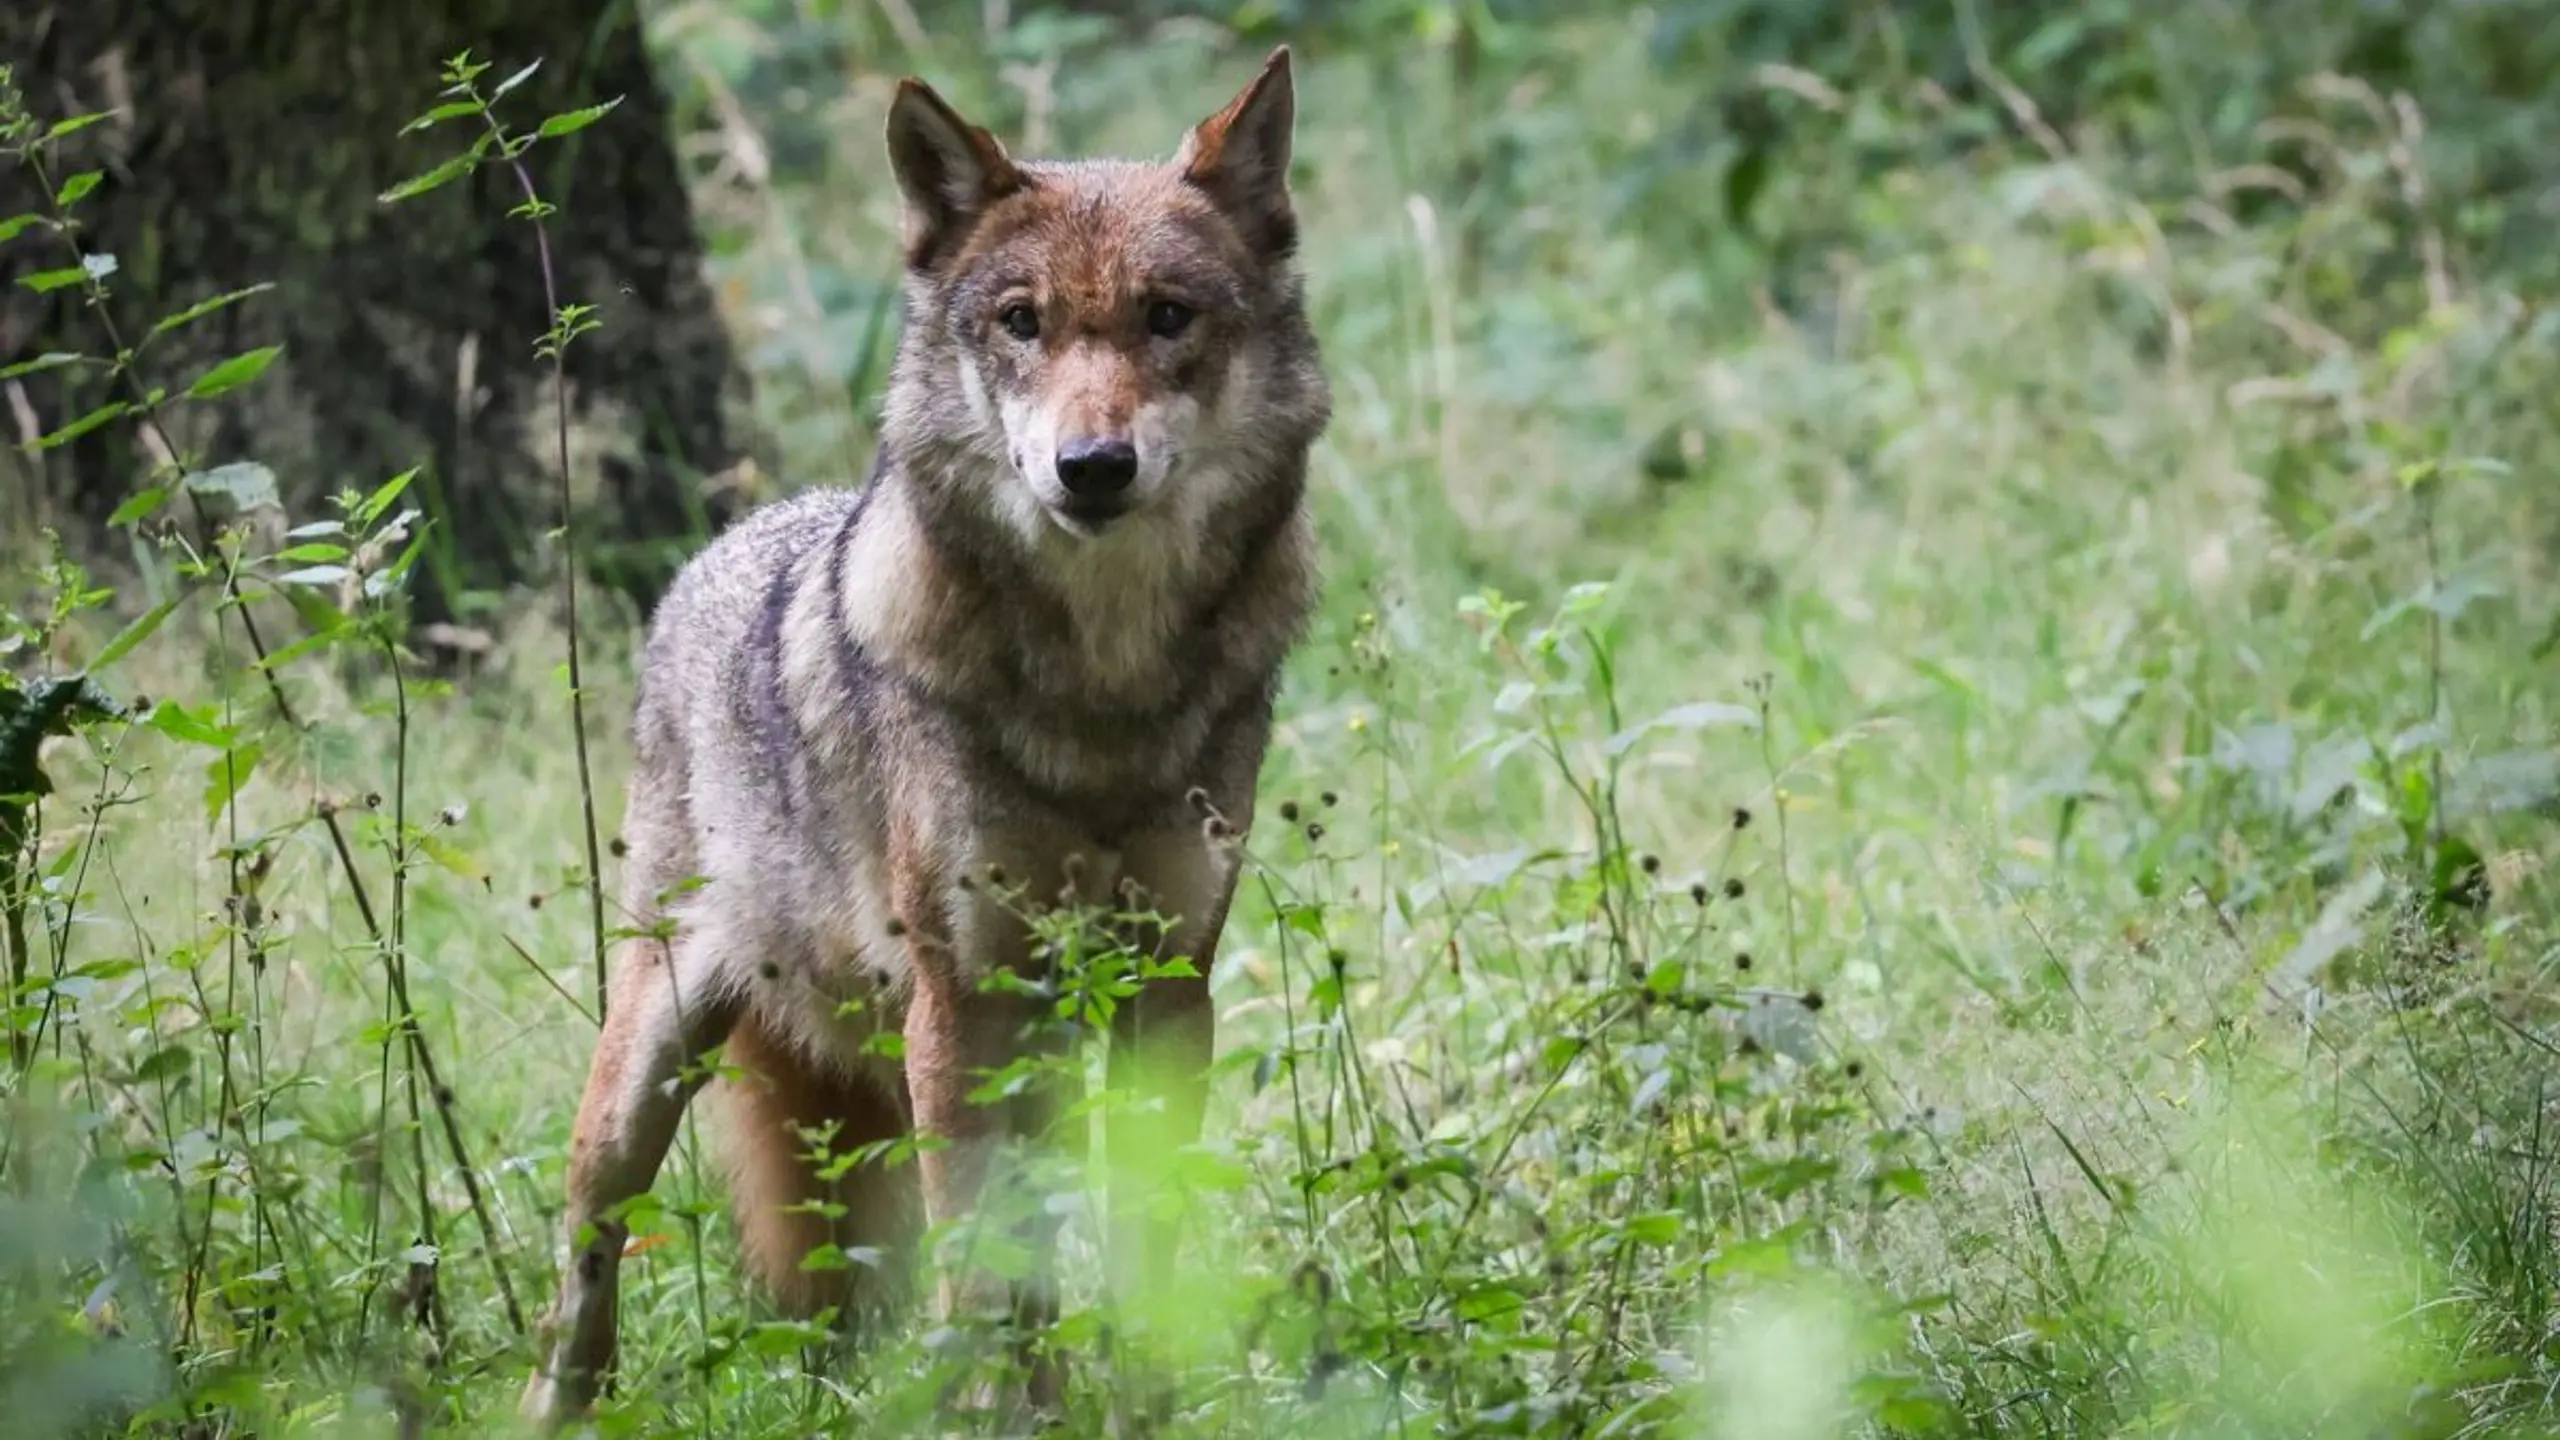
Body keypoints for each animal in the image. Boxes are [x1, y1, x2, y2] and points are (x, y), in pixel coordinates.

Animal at [512, 44, 1331, 1424]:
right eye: (1021, 322)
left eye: (1168, 316)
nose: (1091, 466)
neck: (1102, 691)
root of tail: (720, 551)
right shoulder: (960, 1002)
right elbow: (979, 1266)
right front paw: (997, 1415)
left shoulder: (1168, 988)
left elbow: (1143, 1245)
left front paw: (1143, 1403)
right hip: (650, 1069)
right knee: (586, 1259)